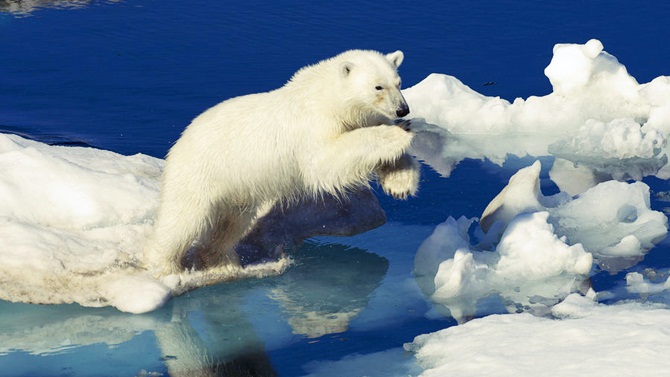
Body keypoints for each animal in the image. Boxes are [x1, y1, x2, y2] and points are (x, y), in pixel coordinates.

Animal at [144, 49, 420, 274]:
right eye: (378, 87)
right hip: (200, 171)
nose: (403, 110)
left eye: (398, 82)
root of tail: (179, 142)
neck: (325, 97)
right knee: (182, 219)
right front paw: (399, 132)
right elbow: (327, 160)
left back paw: (223, 261)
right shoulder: (312, 125)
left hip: (235, 188)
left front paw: (400, 184)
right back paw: (165, 267)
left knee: (231, 222)